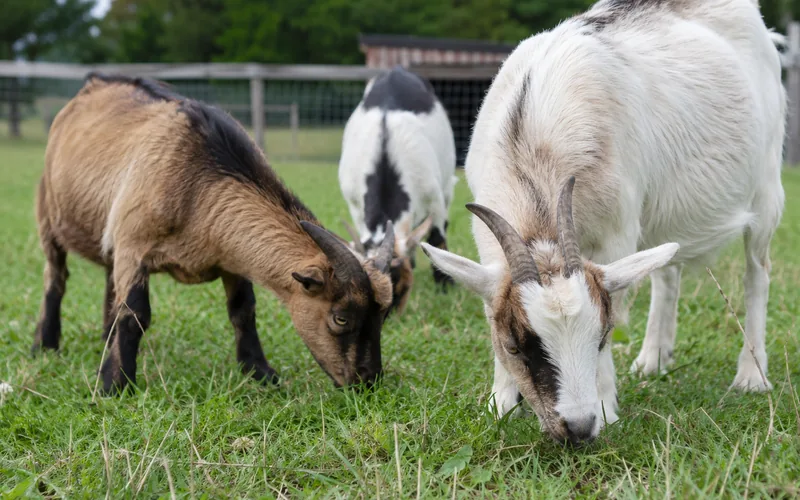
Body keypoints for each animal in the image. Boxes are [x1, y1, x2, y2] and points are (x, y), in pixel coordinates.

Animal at [33, 73, 395, 394]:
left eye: (385, 316)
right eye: (341, 318)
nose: (367, 381)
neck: (198, 186)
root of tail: (93, 85)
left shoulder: (229, 259)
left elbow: (243, 309)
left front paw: (259, 372)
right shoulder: (134, 245)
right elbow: (135, 313)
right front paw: (115, 384)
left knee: (109, 280)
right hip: (48, 214)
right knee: (56, 277)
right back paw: (45, 344)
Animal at [339, 66, 458, 313]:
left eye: (397, 283)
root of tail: (397, 70)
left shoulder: (434, 198)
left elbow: (437, 236)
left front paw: (445, 285)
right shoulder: (354, 204)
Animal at [422, 0, 786, 444]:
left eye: (601, 335)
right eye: (514, 346)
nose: (578, 427)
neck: (535, 150)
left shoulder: (616, 234)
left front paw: (607, 409)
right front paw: (501, 404)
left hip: (766, 188)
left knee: (757, 273)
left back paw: (751, 375)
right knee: (668, 272)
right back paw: (652, 360)